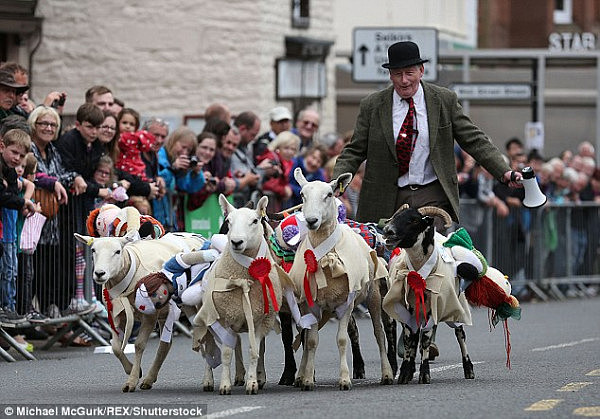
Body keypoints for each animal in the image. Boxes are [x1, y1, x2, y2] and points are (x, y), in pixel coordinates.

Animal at [288, 169, 394, 392]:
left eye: (329, 194)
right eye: (302, 195)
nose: (311, 220)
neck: (326, 257)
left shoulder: (346, 303)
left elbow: (342, 339)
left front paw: (344, 379)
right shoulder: (312, 304)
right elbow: (311, 341)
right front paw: (307, 380)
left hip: (373, 295)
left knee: (379, 333)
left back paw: (387, 374)